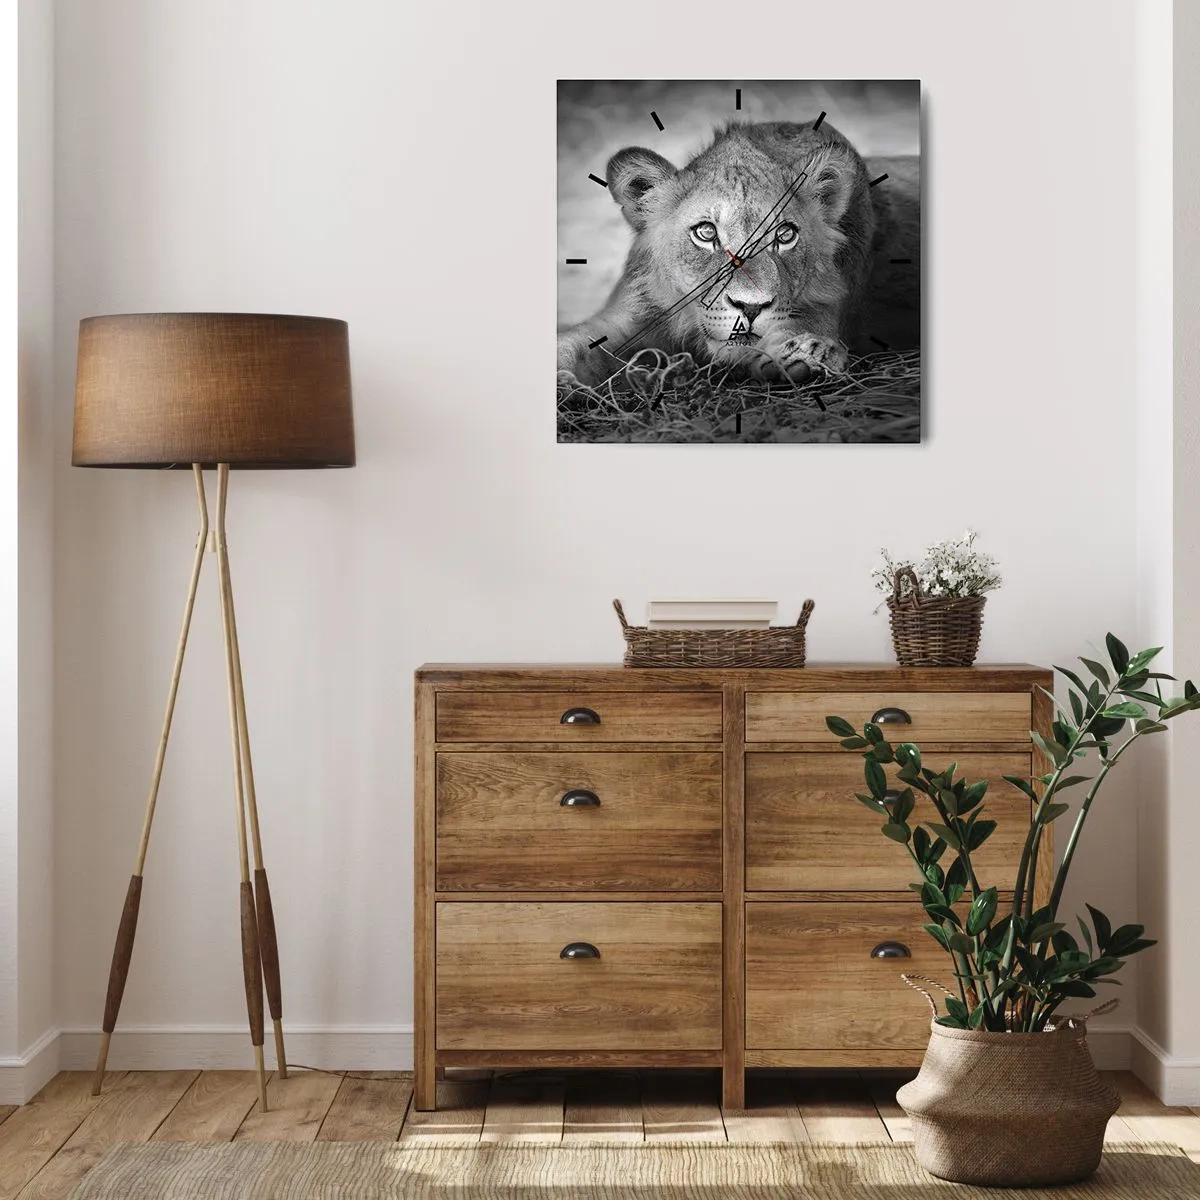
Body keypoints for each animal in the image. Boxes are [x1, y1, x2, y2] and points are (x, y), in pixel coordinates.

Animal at [557, 119, 919, 387]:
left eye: (785, 235)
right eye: (706, 233)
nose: (751, 307)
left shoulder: (829, 303)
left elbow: (805, 326)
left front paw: (807, 354)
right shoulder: (629, 314)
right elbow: (572, 345)